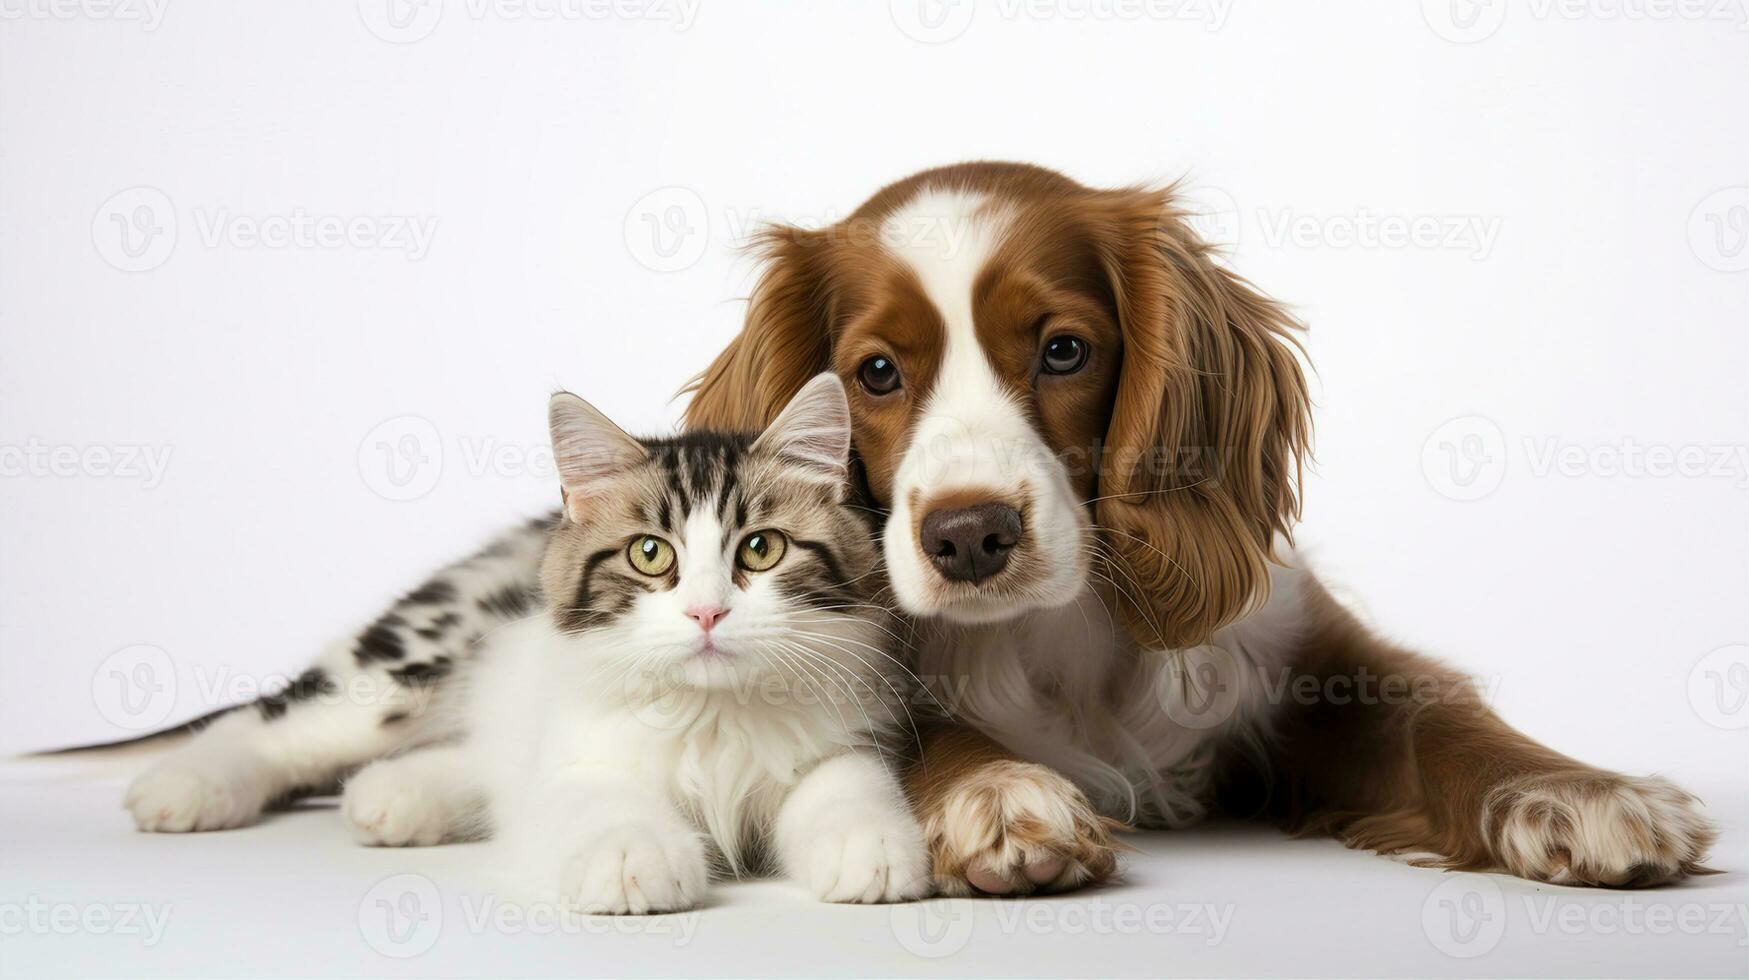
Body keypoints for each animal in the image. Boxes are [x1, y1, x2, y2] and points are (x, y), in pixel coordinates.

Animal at [328, 372, 930, 910]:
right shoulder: (577, 762)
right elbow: (608, 805)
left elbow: (848, 789)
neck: (715, 715)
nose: (706, 612)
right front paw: (632, 860)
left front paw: (869, 848)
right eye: (649, 553)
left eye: (761, 548)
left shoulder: (848, 745)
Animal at [682, 162, 1721, 896]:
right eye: (877, 372)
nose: (969, 536)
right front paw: (999, 796)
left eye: (1065, 350)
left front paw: (1581, 793)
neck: (1061, 635)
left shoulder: (1305, 654)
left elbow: (1435, 713)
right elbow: (926, 736)